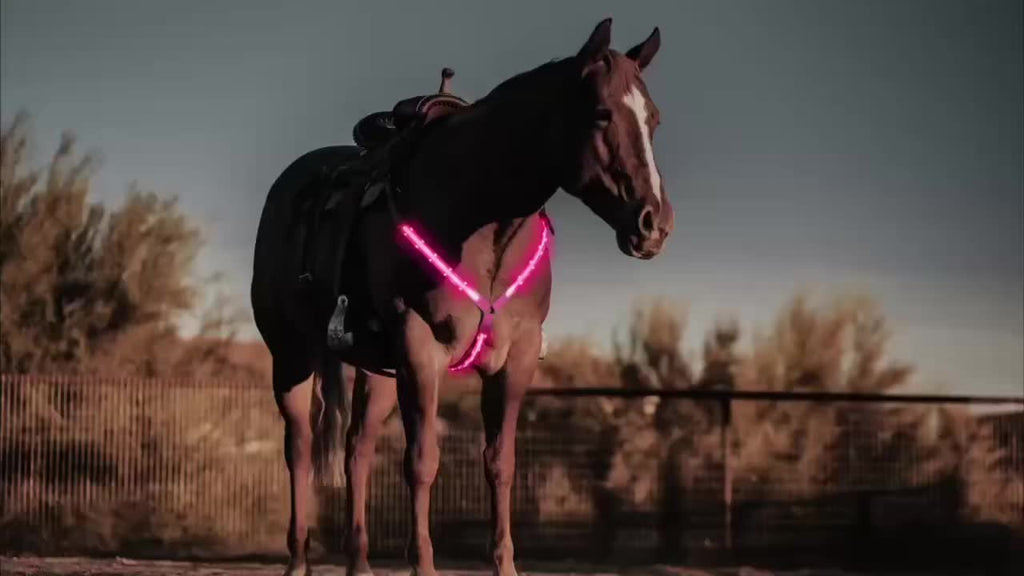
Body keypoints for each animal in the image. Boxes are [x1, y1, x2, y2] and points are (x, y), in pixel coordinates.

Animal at [251, 18, 674, 576]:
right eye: (603, 113)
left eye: (655, 119)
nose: (655, 224)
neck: (478, 215)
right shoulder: (420, 349)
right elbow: (422, 461)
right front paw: (423, 564)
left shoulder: (515, 358)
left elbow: (501, 463)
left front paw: (505, 564)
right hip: (292, 357)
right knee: (298, 448)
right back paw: (298, 559)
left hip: (376, 372)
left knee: (356, 451)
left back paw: (359, 562)